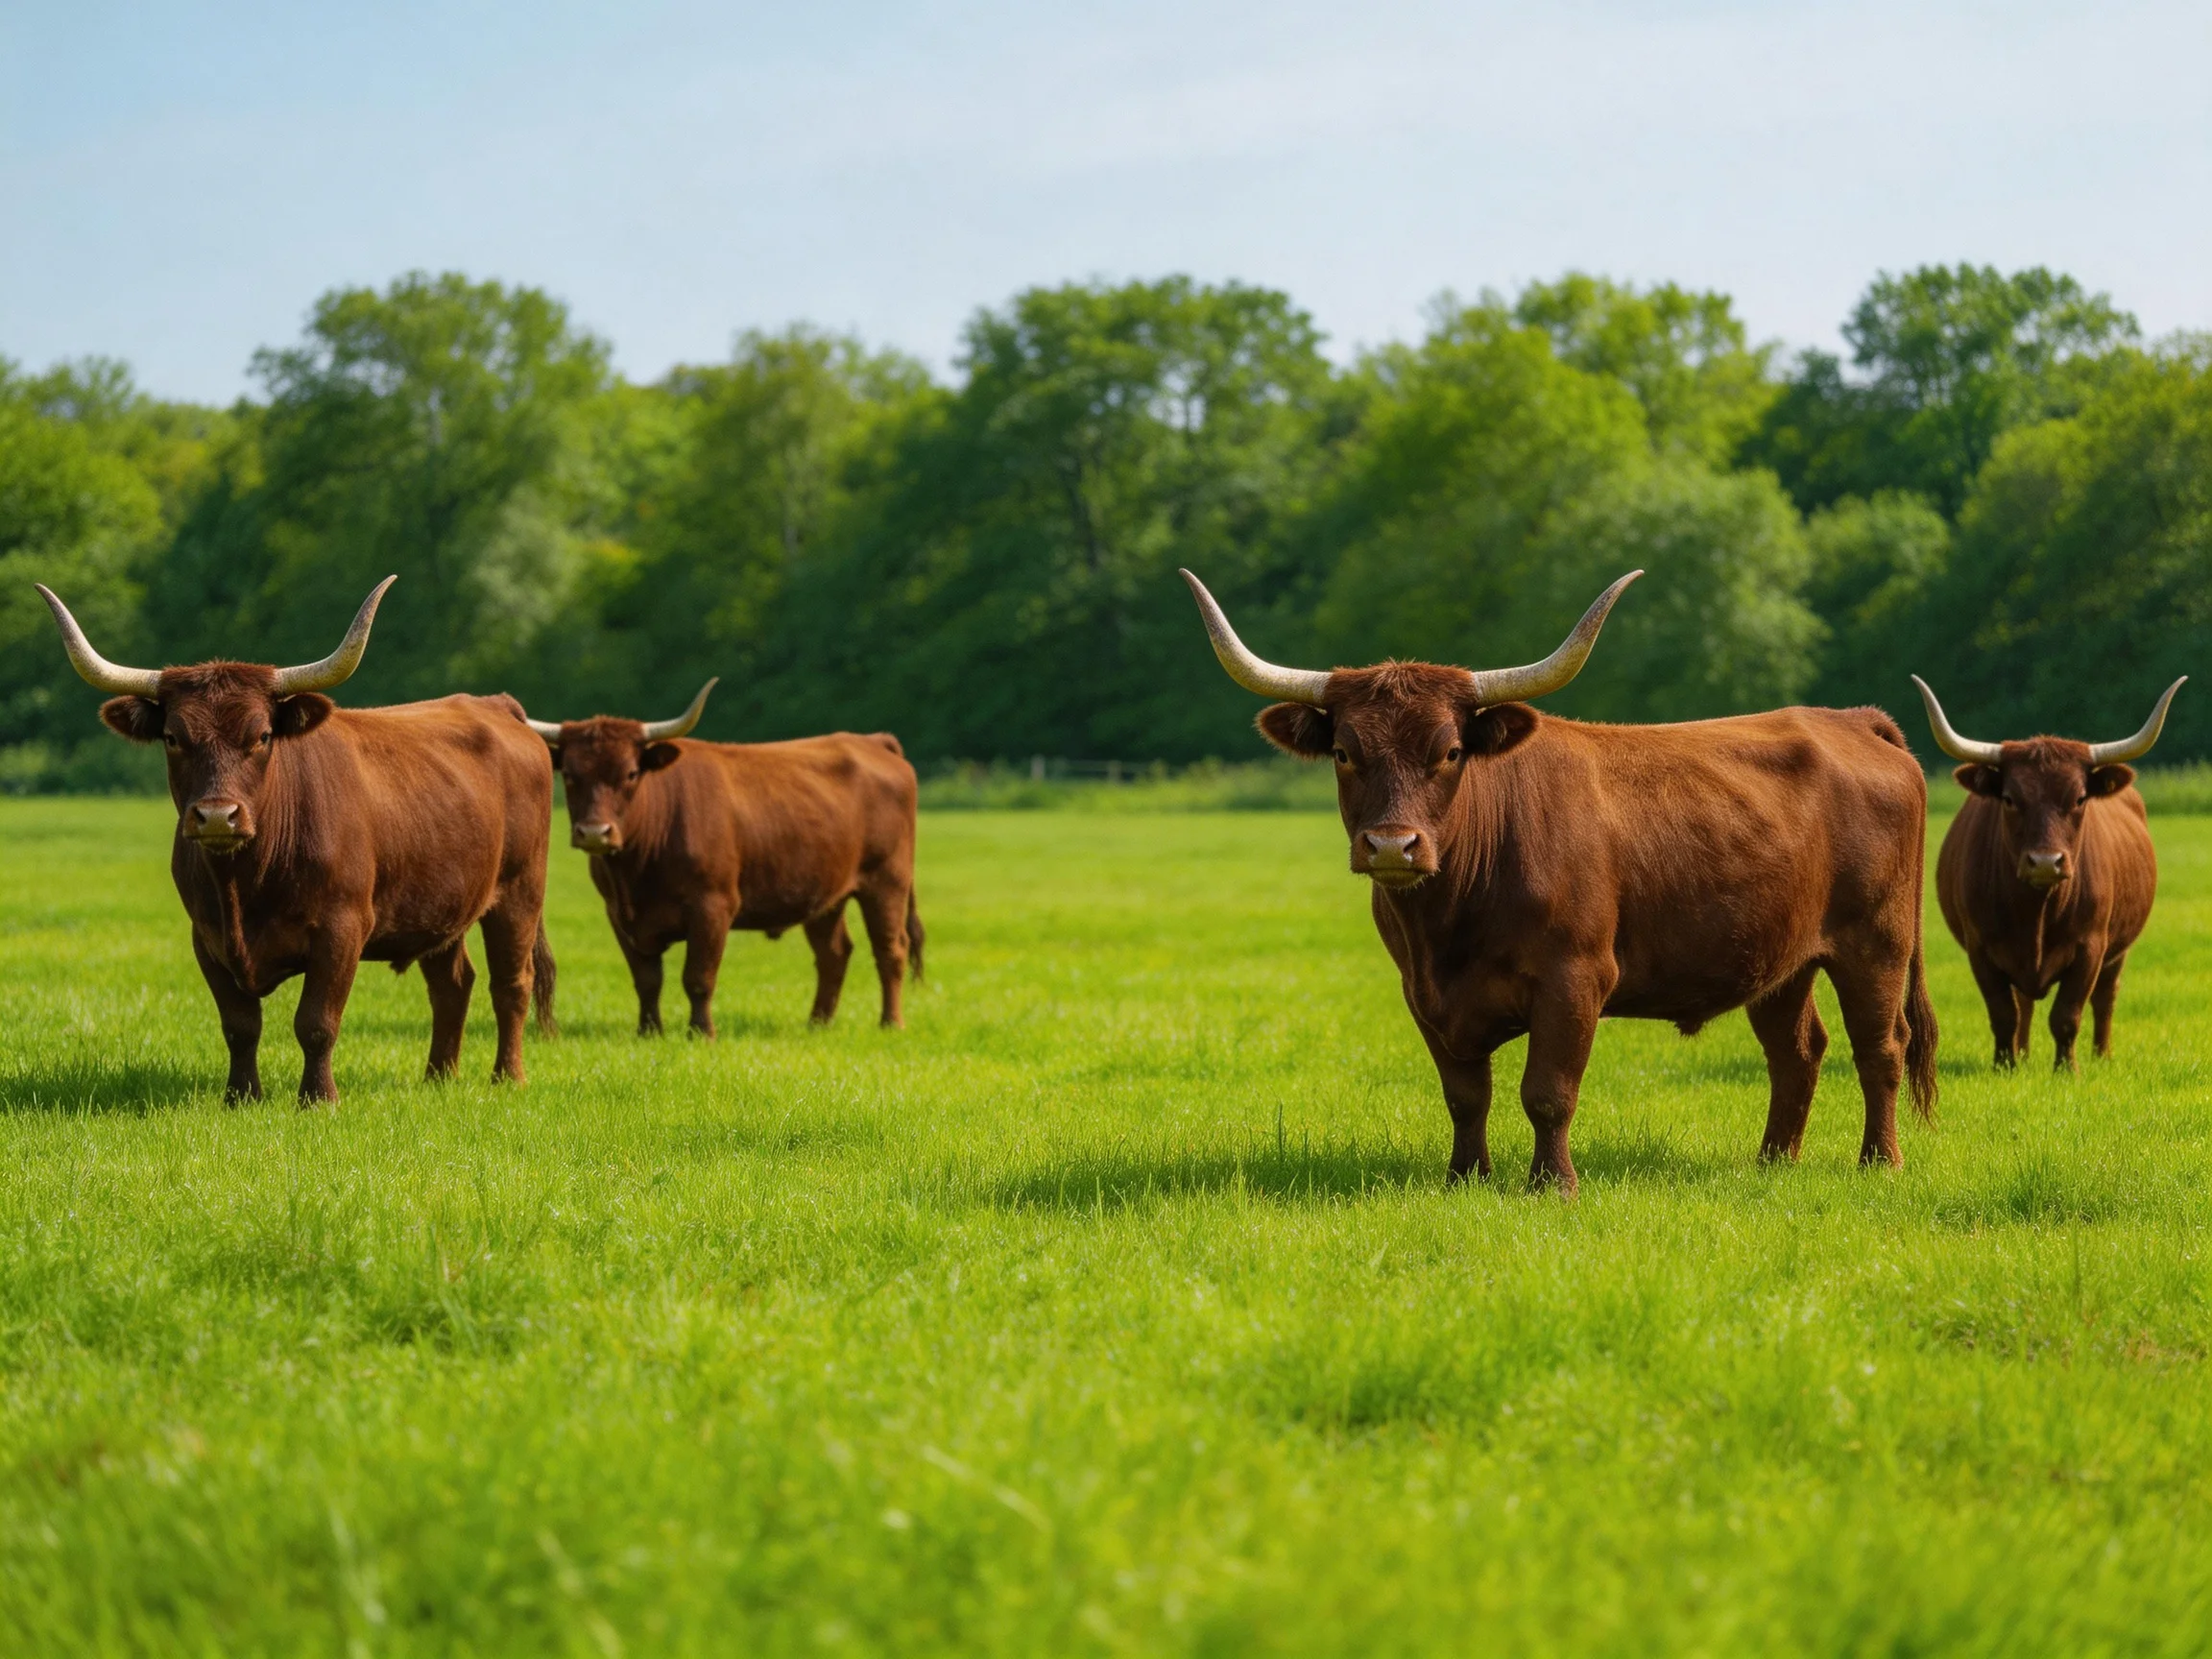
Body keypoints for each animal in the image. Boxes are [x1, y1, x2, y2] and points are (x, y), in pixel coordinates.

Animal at [37, 578, 555, 1104]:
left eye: (263, 735)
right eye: (172, 738)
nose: (218, 816)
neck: (244, 885)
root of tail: (495, 704)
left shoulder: (342, 930)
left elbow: (316, 1023)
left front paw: (319, 1099)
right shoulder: (206, 937)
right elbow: (240, 1025)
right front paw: (241, 1096)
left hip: (519, 891)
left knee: (511, 984)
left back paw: (507, 1076)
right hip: (441, 906)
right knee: (452, 984)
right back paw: (438, 1077)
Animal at [521, 682, 923, 1035]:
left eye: (631, 773)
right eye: (570, 775)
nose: (594, 832)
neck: (636, 873)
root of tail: (870, 741)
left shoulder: (712, 907)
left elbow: (698, 977)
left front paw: (701, 1032)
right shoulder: (619, 915)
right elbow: (647, 979)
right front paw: (649, 1031)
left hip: (886, 883)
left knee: (891, 950)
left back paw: (891, 1022)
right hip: (826, 897)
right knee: (834, 954)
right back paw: (817, 1023)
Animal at [1181, 569, 1937, 1194]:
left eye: (1450, 752)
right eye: (1343, 752)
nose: (1393, 845)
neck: (1447, 928)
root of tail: (1848, 720)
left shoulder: (1574, 978)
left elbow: (1546, 1091)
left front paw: (1553, 1185)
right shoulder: (1422, 994)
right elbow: (1466, 1095)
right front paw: (1466, 1178)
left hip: (1876, 943)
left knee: (1881, 1048)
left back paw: (1880, 1162)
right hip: (1782, 959)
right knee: (1797, 1051)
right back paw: (1773, 1162)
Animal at [1914, 675, 2182, 1070]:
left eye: (2080, 798)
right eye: (2009, 798)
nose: (2044, 862)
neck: (2037, 911)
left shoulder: (2091, 947)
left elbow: (2067, 1015)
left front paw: (2066, 1069)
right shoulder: (1981, 948)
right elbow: (2003, 1013)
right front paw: (2005, 1066)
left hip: (2118, 951)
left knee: (2105, 996)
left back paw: (2101, 1055)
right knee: (2023, 1003)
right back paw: (2024, 1055)